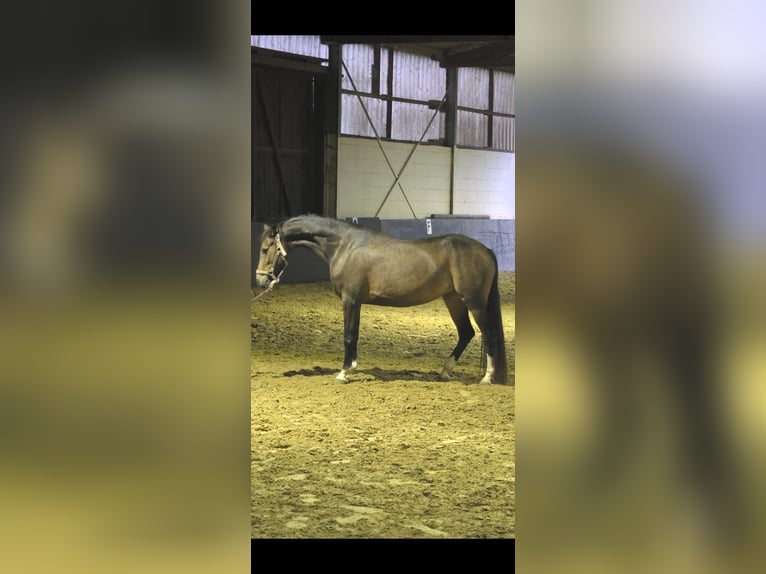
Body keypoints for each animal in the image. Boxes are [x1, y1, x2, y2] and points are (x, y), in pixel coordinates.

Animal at [254, 215, 508, 384]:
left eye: (266, 249)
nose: (260, 280)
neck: (345, 245)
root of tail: (486, 250)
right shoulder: (356, 302)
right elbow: (354, 335)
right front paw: (351, 368)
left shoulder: (350, 300)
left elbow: (348, 336)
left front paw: (344, 373)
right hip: (453, 300)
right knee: (466, 333)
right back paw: (445, 371)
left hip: (474, 302)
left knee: (489, 334)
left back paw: (487, 377)